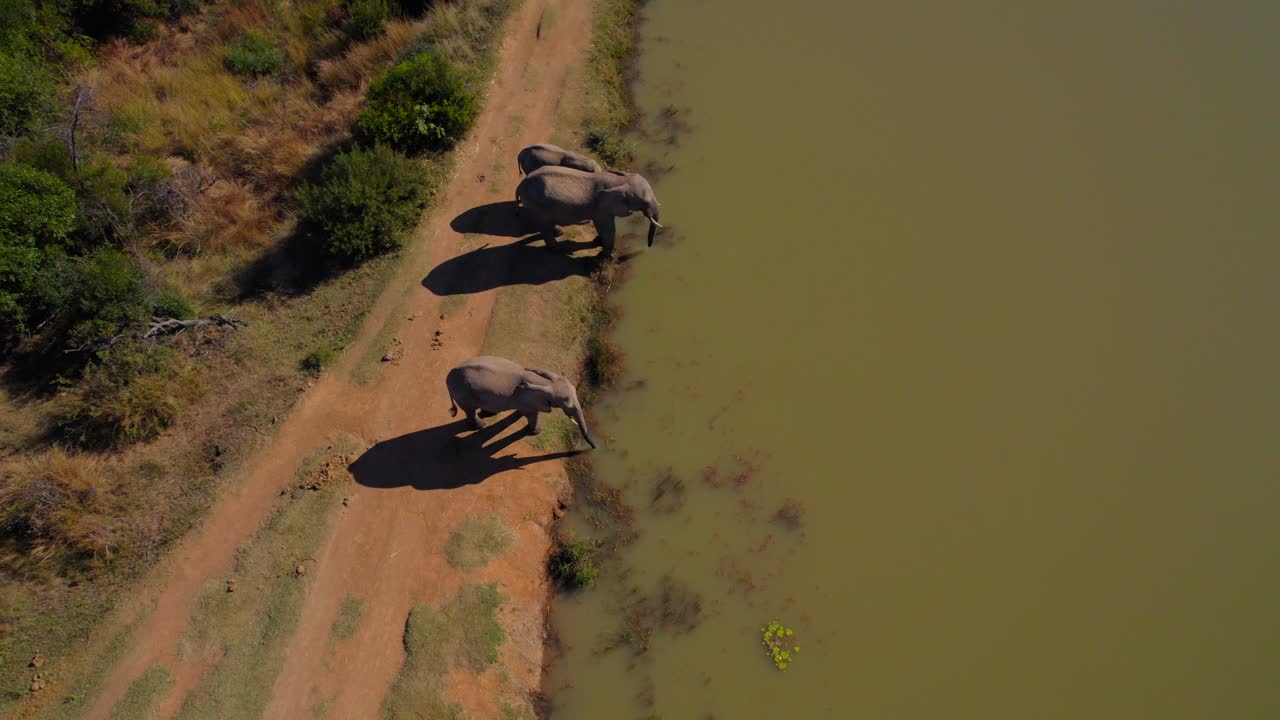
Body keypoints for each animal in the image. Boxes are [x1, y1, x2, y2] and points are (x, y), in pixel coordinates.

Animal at [446, 355, 596, 449]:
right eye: (565, 405)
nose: (594, 447)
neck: (546, 383)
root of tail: (448, 377)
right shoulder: (529, 399)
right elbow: (532, 414)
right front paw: (537, 431)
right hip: (463, 393)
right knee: (470, 410)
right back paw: (481, 425)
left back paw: (488, 414)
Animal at [515, 166, 661, 255]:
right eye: (645, 203)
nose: (648, 247)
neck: (620, 180)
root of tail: (520, 185)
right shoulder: (602, 207)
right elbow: (607, 228)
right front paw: (606, 255)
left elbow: (601, 226)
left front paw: (599, 243)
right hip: (535, 204)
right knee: (544, 224)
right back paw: (556, 250)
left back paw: (559, 234)